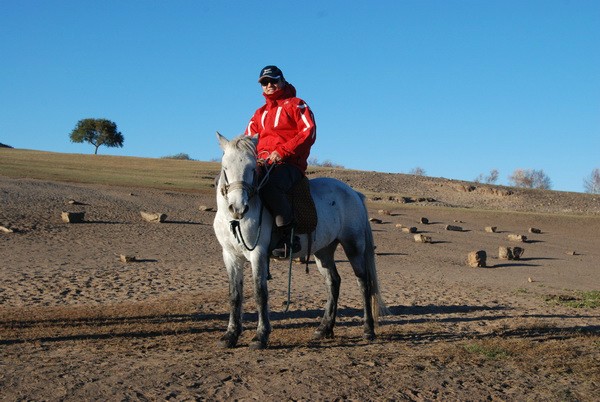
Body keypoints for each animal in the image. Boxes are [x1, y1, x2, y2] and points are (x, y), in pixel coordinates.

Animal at [213, 133, 386, 350]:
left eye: (252, 169)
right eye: (225, 167)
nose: (238, 207)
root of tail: (354, 193)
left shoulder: (257, 253)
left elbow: (260, 292)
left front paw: (261, 336)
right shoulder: (230, 255)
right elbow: (234, 295)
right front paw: (230, 335)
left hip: (353, 246)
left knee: (363, 283)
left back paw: (368, 330)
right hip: (323, 251)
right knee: (333, 282)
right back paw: (324, 328)